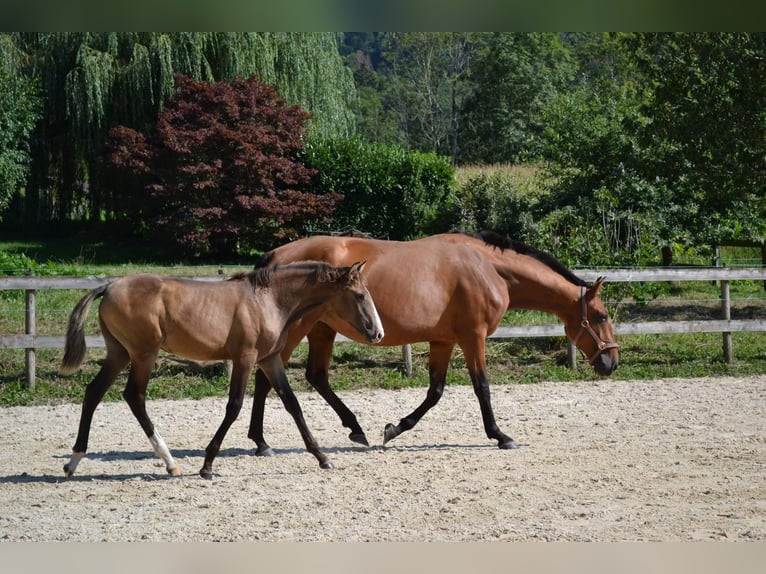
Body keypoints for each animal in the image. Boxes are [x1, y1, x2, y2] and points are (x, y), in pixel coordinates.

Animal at [59, 264, 384, 480]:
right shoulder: (245, 358)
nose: (378, 333)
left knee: (94, 392)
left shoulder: (270, 359)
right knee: (134, 397)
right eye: (359, 295)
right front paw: (207, 465)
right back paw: (170, 462)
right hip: (143, 354)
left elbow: (292, 404)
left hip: (119, 354)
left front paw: (323, 458)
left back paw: (73, 462)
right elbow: (234, 406)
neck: (268, 301)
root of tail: (109, 287)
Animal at [249, 232, 620, 456]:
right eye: (601, 316)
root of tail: (276, 255)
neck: (488, 268)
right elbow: (482, 386)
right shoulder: (473, 336)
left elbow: (435, 392)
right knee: (268, 377)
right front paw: (500, 435)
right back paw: (261, 441)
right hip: (297, 330)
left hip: (321, 330)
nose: (611, 362)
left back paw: (354, 429)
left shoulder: (443, 340)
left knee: (315, 376)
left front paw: (394, 429)